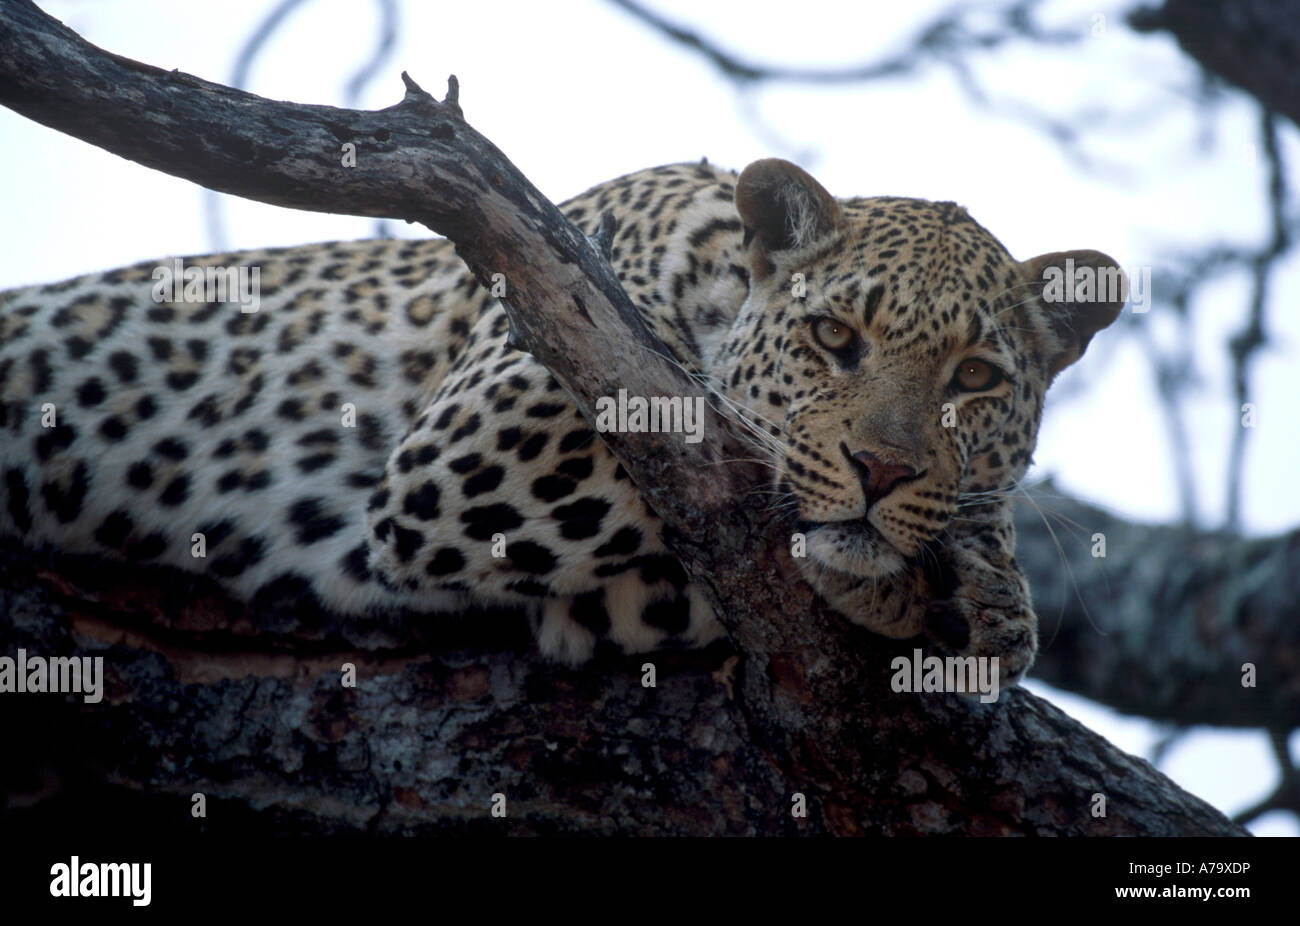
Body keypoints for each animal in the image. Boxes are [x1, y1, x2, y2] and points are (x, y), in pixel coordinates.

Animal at [0, 157, 1125, 685]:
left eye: (974, 376)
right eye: (835, 336)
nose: (881, 469)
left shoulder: (584, 608)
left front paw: (981, 587)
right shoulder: (473, 444)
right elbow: (708, 431)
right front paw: (933, 581)